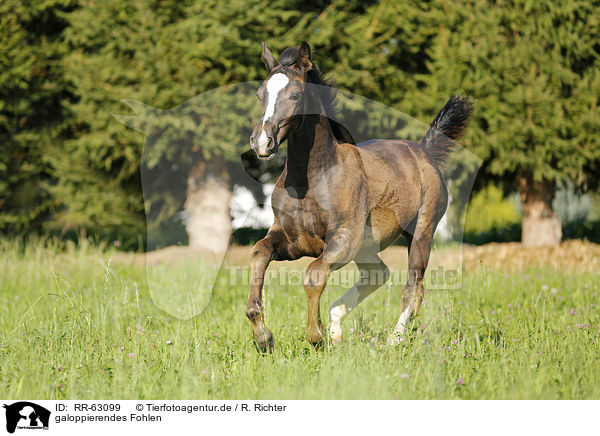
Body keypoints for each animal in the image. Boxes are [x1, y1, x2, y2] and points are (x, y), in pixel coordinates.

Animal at [246, 41, 472, 352]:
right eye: (260, 94)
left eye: (295, 94)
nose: (261, 143)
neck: (311, 180)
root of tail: (424, 151)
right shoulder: (291, 240)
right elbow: (259, 254)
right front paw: (263, 337)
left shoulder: (344, 239)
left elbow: (314, 275)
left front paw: (316, 336)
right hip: (368, 247)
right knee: (378, 274)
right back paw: (337, 329)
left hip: (422, 232)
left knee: (413, 286)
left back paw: (394, 339)